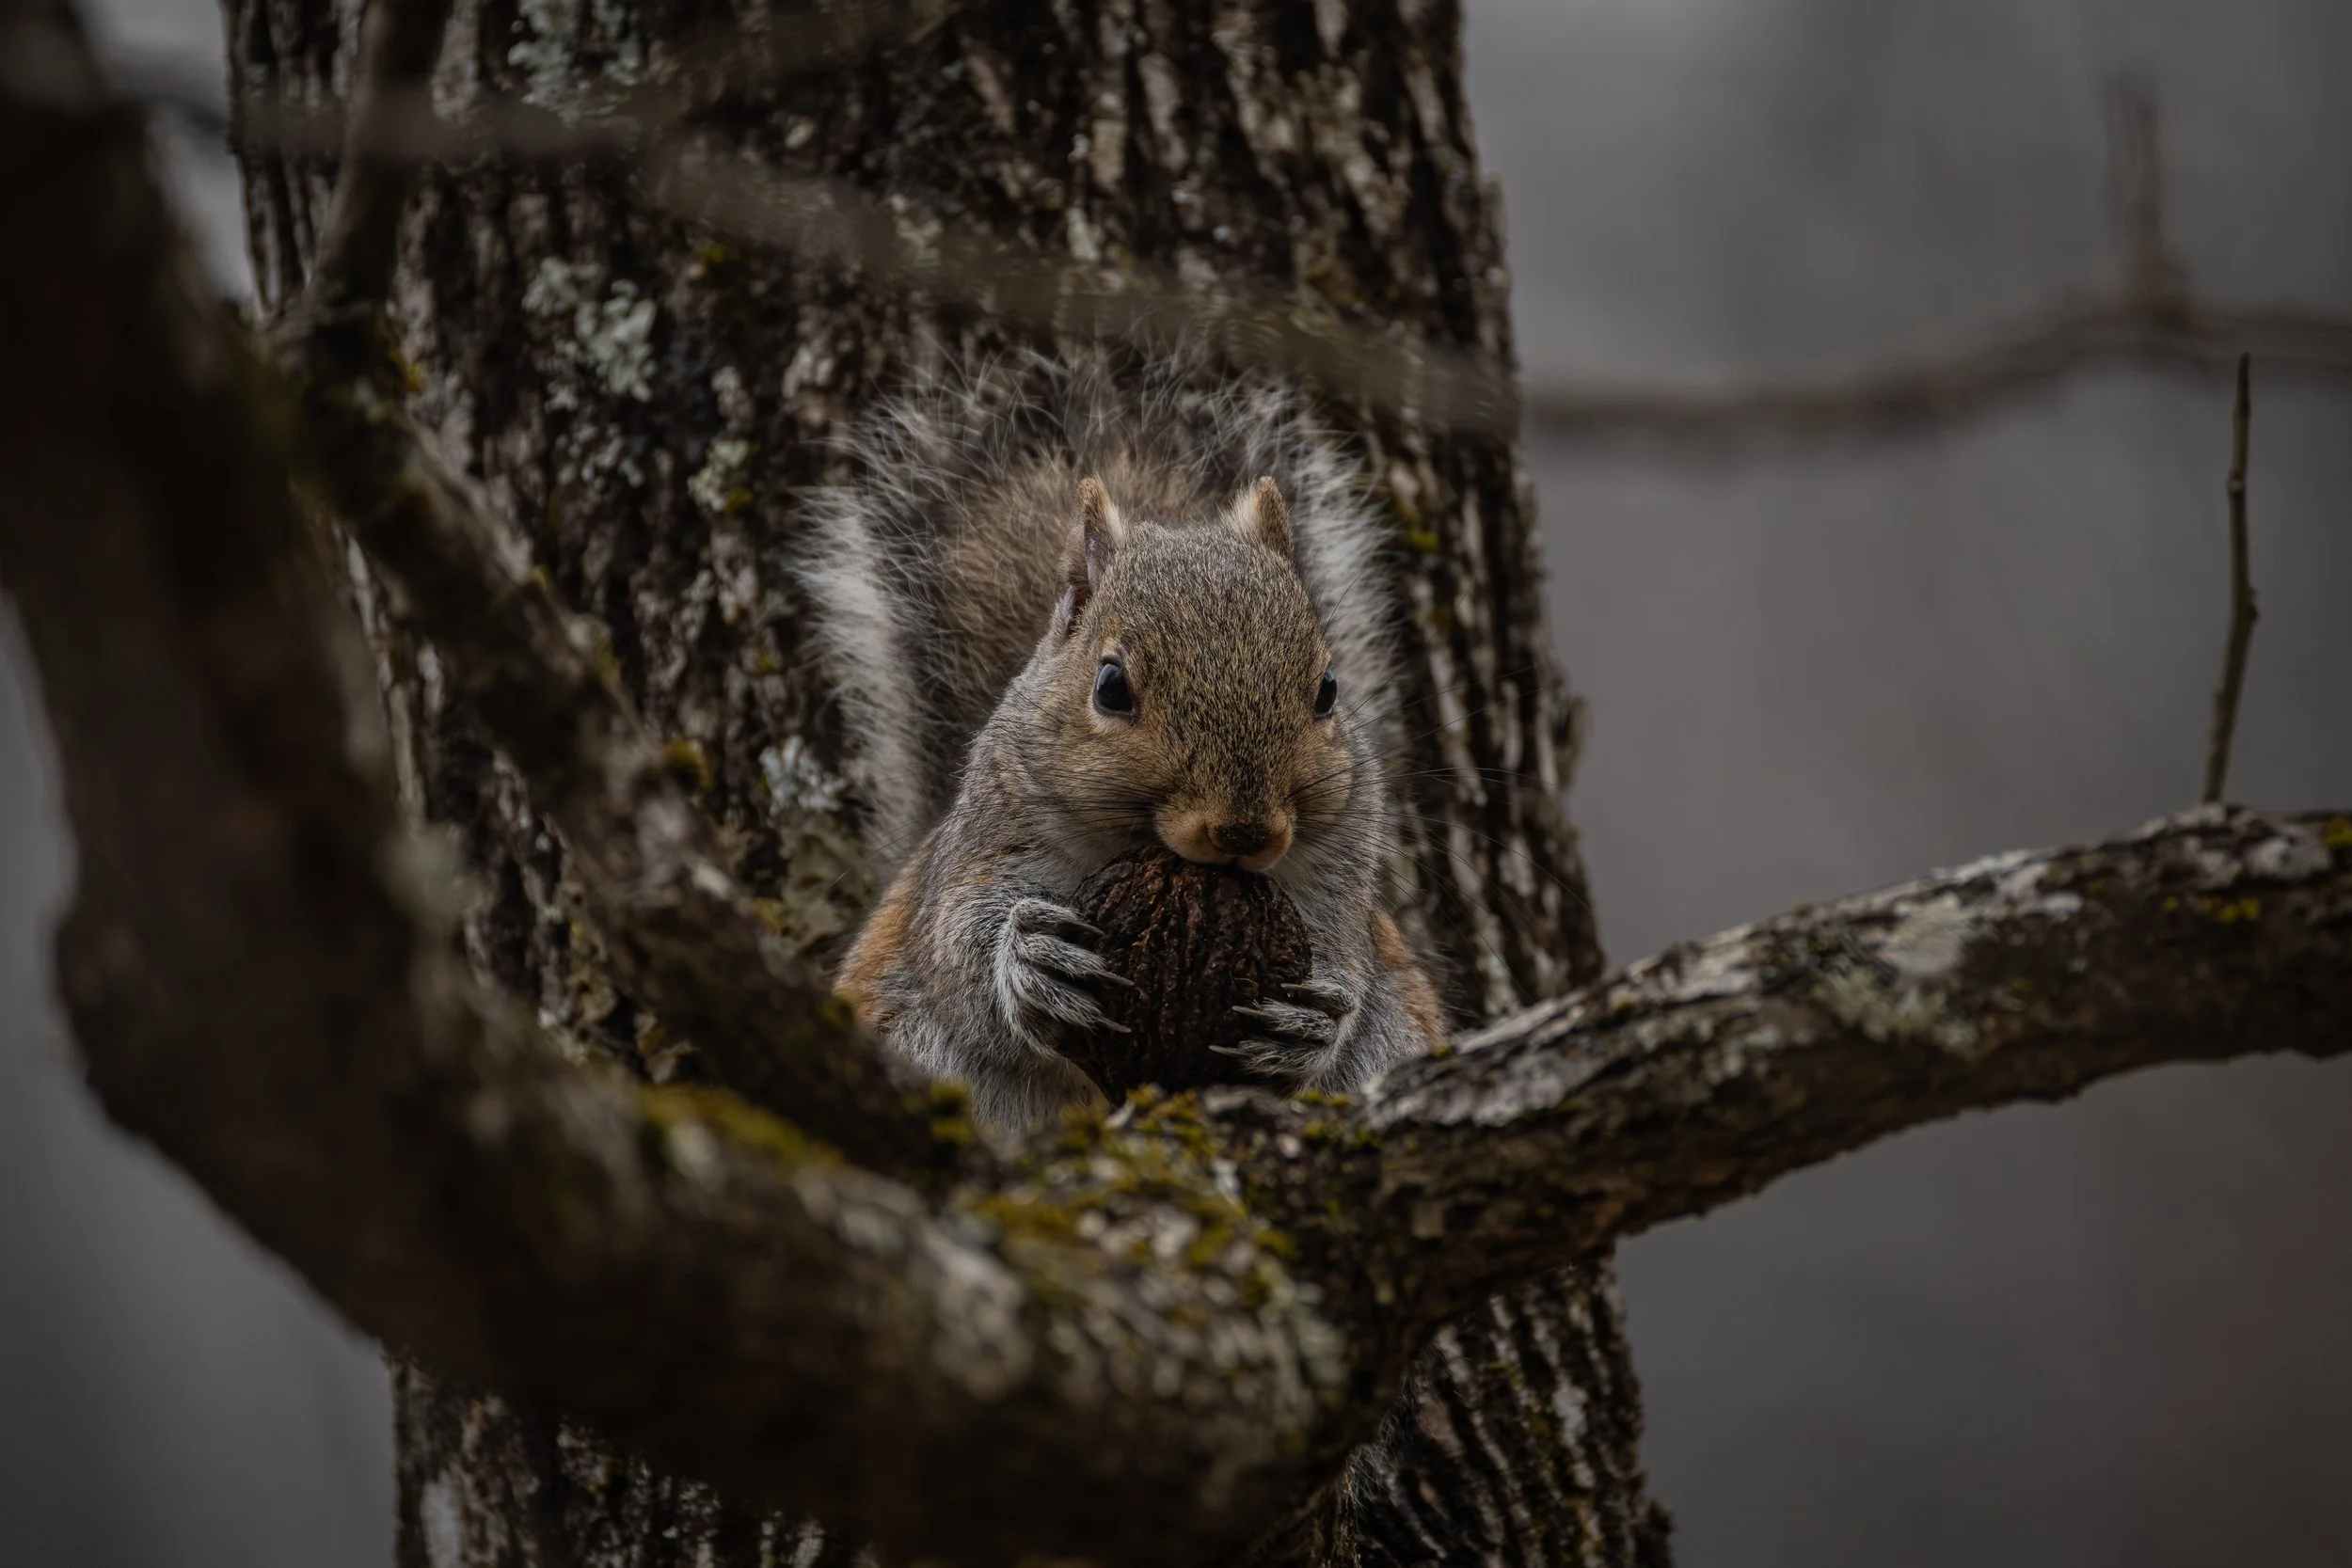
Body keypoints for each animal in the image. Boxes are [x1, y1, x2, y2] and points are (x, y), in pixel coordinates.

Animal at [796, 357, 1445, 1129]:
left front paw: (1314, 1025)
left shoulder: (1339, 872)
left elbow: (1347, 955)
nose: (1245, 831)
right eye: (1110, 687)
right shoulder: (987, 839)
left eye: (1327, 690)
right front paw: (1027, 962)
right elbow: (960, 948)